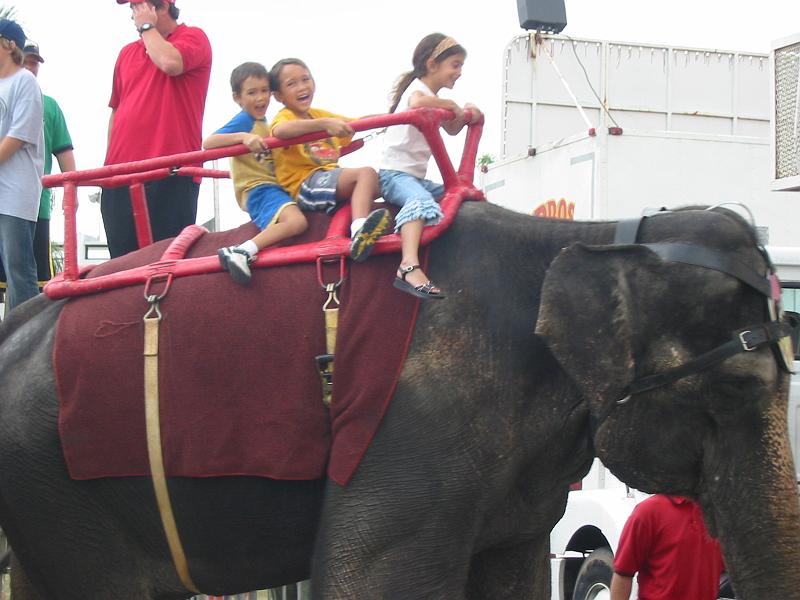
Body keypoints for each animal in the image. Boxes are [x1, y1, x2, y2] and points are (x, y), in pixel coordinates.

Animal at [0, 203, 796, 600]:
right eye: (736, 387)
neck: (591, 237)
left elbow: (511, 580)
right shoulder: (415, 425)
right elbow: (370, 581)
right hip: (63, 482)